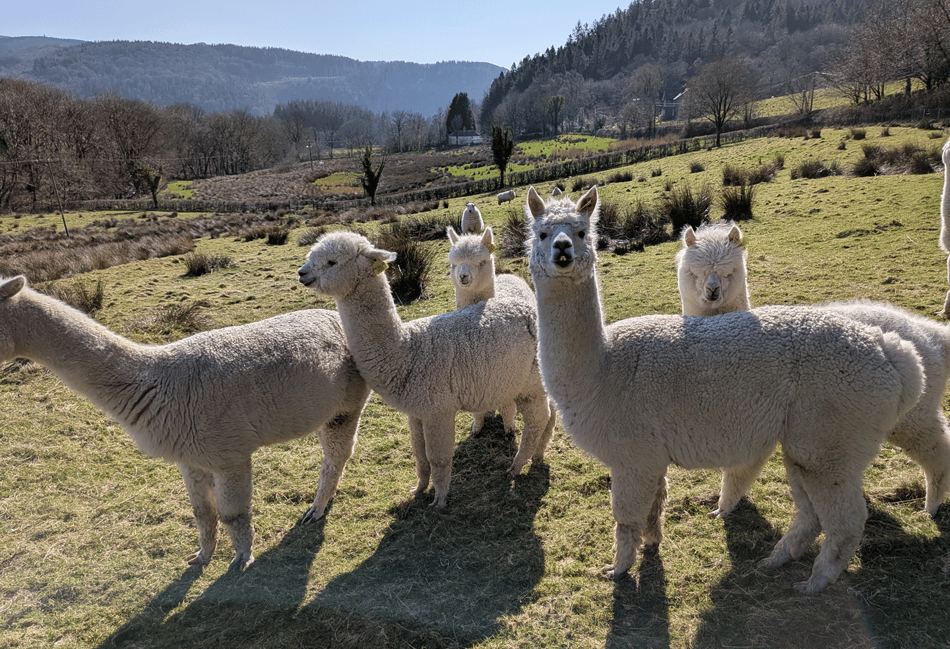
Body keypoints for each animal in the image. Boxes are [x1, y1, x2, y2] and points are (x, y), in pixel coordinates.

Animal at [0, 275, 370, 570]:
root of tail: (335, 316)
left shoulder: (229, 453)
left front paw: (242, 560)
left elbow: (233, 513)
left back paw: (316, 509)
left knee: (337, 455)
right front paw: (201, 557)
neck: (157, 382)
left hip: (347, 402)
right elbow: (202, 513)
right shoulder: (190, 456)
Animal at [446, 225, 555, 440]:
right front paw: (477, 428)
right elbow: (478, 411)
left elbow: (507, 408)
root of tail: (507, 275)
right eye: (454, 264)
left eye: (482, 262)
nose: (463, 277)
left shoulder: (508, 375)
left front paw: (509, 429)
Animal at [675, 224, 950, 517]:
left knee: (936, 450)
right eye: (694, 272)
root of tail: (934, 336)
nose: (712, 291)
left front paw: (722, 509)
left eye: (730, 271)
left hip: (913, 413)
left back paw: (930, 507)